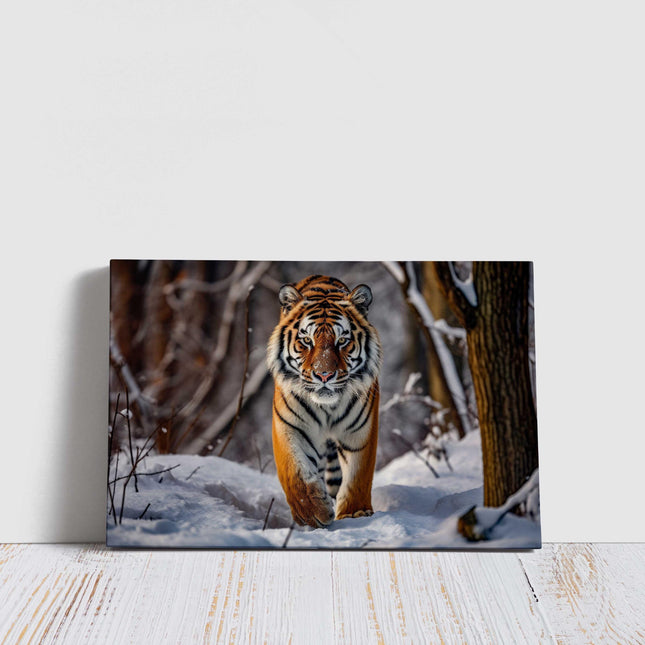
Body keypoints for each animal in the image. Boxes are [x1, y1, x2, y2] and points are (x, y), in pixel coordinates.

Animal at [266, 274, 383, 528]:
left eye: (342, 341)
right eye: (306, 341)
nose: (324, 375)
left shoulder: (359, 433)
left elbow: (358, 476)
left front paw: (355, 514)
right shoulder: (290, 426)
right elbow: (294, 474)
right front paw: (312, 512)